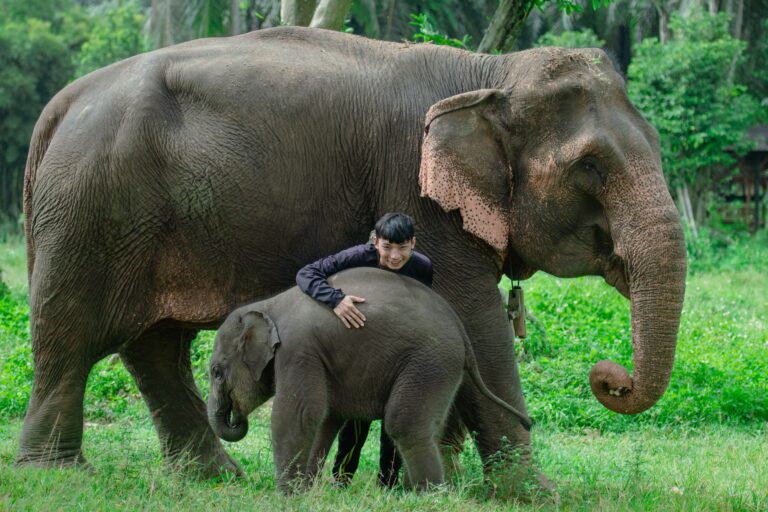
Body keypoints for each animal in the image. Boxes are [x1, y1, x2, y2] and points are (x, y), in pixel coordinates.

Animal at [207, 267, 532, 492]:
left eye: (216, 372)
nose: (236, 419)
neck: (267, 306)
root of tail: (461, 331)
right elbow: (326, 418)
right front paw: (306, 490)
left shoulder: (298, 350)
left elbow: (298, 414)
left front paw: (288, 495)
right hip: (440, 368)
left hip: (430, 361)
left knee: (403, 423)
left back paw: (430, 495)